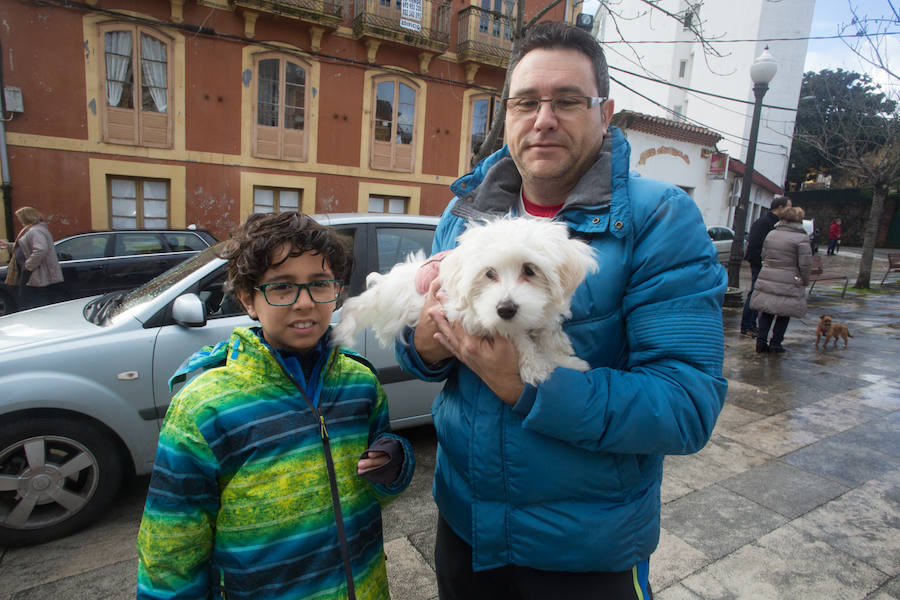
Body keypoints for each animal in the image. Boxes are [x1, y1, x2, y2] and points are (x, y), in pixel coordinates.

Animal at [330, 216, 596, 384]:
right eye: (489, 273)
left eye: (530, 270)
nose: (505, 309)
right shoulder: (468, 314)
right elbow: (517, 336)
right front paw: (536, 366)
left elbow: (546, 332)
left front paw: (566, 360)